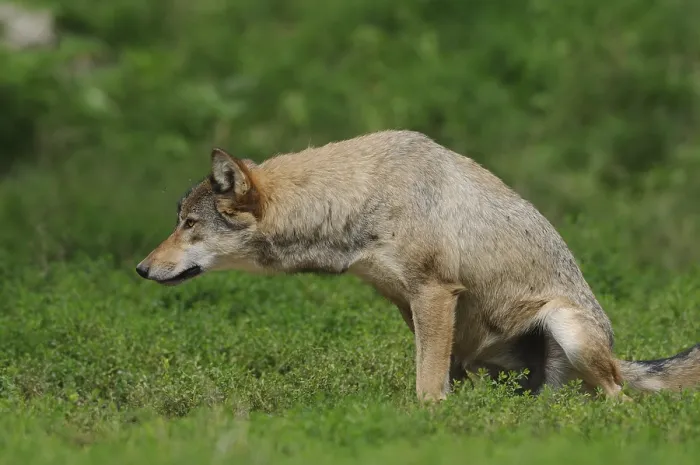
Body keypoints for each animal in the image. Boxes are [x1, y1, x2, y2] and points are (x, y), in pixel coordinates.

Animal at [136, 130, 699, 402]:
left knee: (622, 402)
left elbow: (426, 386)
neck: (361, 199)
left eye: (188, 224)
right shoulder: (410, 304)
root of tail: (619, 354)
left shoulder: (434, 292)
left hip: (570, 330)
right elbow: (435, 375)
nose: (141, 269)